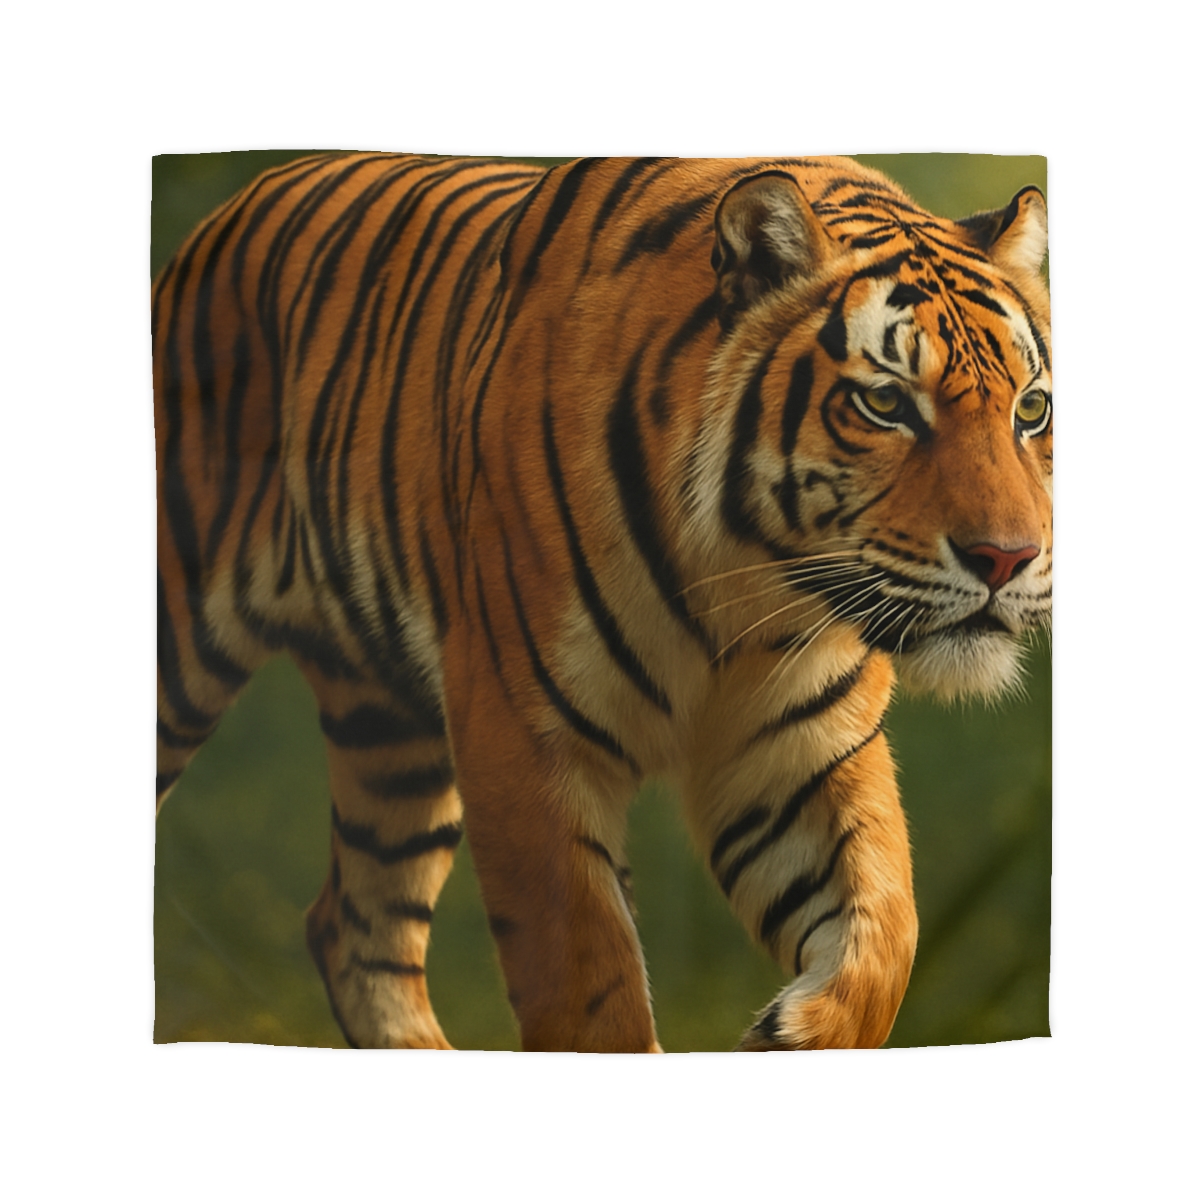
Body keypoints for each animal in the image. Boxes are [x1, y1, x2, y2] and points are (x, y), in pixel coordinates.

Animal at [154, 154, 1051, 1052]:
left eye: (1030, 409)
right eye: (885, 403)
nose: (1008, 558)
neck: (748, 581)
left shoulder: (803, 750)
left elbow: (887, 931)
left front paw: (787, 1033)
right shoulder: (524, 740)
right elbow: (591, 992)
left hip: (393, 731)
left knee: (356, 922)